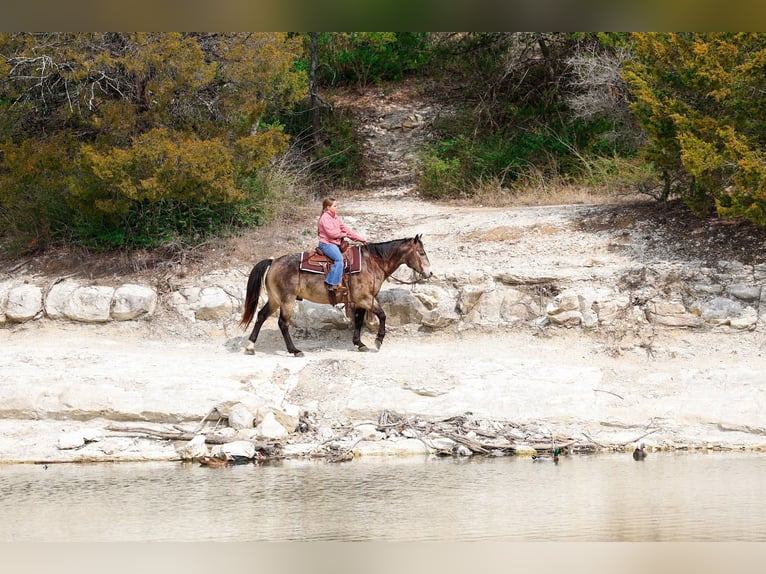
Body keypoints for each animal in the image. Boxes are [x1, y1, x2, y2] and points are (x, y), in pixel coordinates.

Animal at [240, 235, 432, 356]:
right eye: (421, 252)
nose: (429, 273)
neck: (372, 263)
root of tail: (273, 262)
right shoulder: (365, 298)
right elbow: (383, 315)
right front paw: (378, 340)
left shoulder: (359, 301)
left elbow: (359, 320)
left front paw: (359, 343)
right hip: (287, 300)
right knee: (282, 323)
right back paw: (295, 350)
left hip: (275, 300)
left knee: (261, 316)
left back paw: (250, 346)